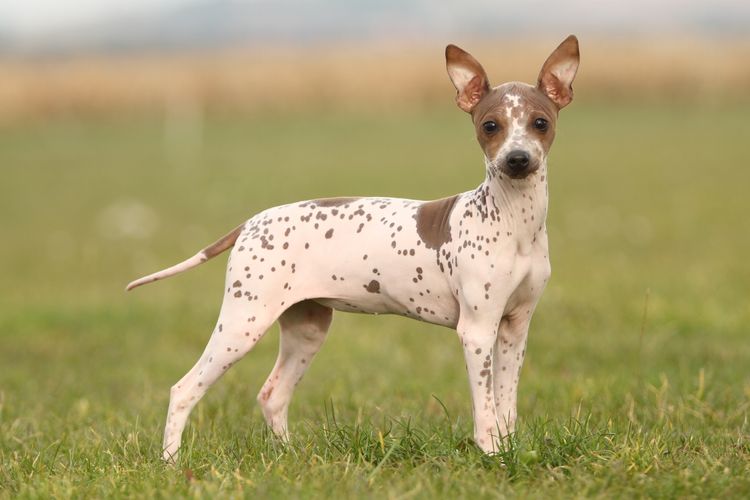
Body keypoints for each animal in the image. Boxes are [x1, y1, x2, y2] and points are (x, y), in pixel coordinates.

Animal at [128, 36, 580, 464]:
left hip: (306, 329)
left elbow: (505, 407)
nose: (517, 159)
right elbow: (485, 412)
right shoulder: (477, 330)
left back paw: (289, 457)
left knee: (272, 395)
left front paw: (509, 451)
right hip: (243, 324)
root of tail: (252, 222)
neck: (513, 221)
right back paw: (170, 464)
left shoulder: (514, 329)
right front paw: (491, 457)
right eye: (490, 126)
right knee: (184, 389)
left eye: (540, 123)